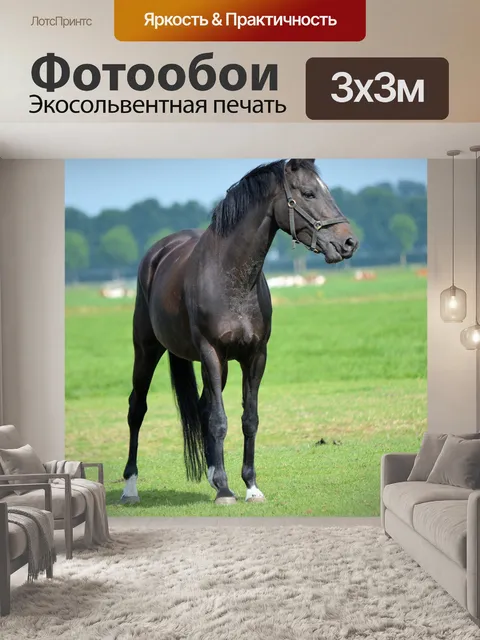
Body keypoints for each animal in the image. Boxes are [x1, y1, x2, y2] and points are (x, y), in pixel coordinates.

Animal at [120, 158, 359, 505]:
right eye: (308, 193)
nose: (349, 242)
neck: (231, 278)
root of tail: (158, 253)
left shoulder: (255, 356)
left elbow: (249, 419)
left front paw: (250, 486)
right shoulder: (211, 353)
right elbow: (220, 420)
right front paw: (224, 490)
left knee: (203, 407)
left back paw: (211, 474)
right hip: (148, 349)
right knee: (137, 408)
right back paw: (130, 487)